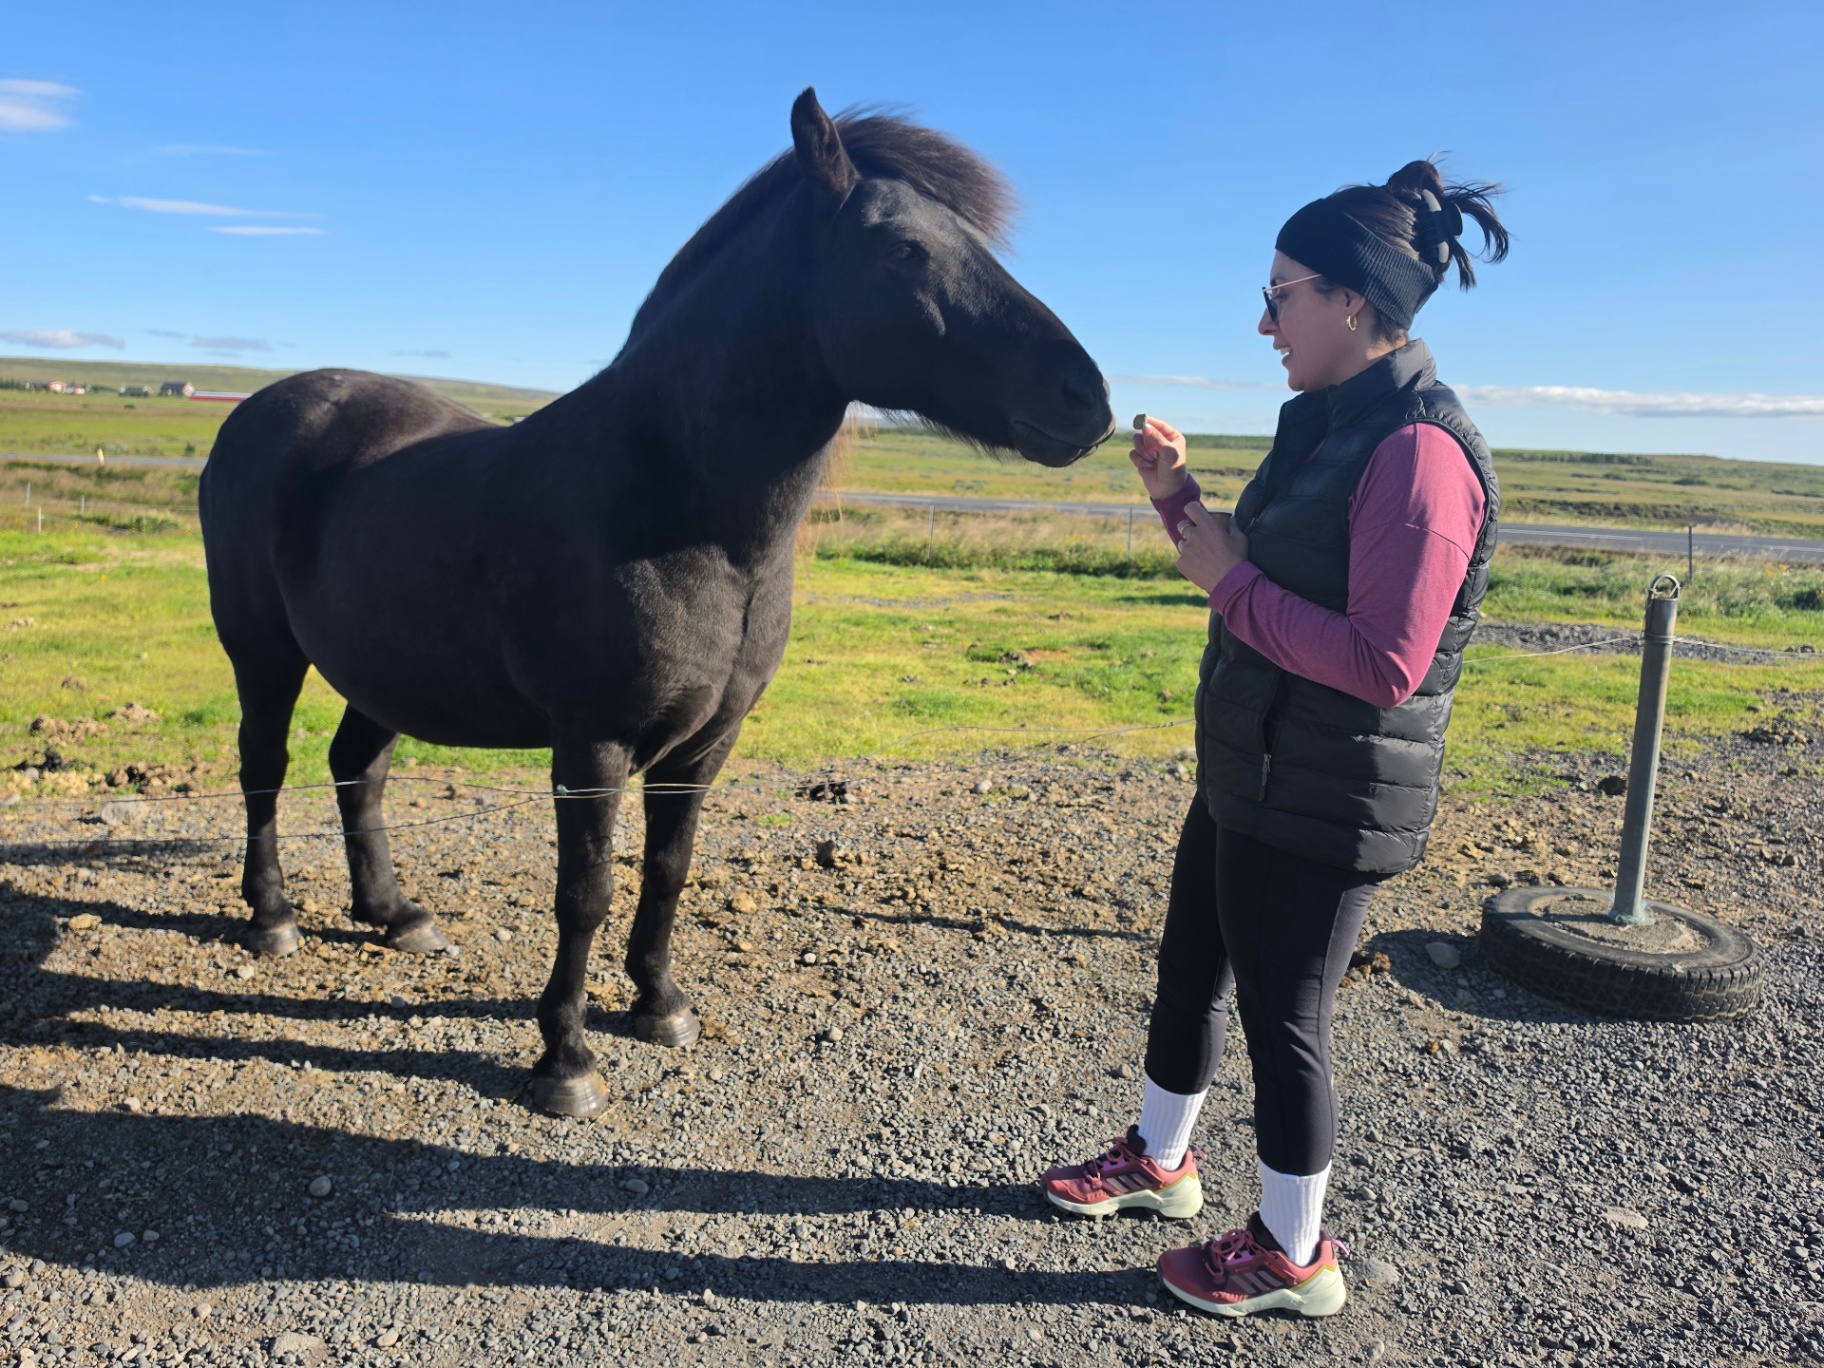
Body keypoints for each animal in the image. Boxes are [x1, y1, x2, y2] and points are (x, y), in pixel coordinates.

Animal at [197, 88, 1114, 1117]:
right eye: (905, 250)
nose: (1088, 399)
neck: (685, 516)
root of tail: (260, 410)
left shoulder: (707, 742)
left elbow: (669, 872)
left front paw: (660, 1004)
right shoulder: (591, 744)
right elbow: (586, 891)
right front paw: (565, 1059)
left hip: (385, 670)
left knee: (358, 769)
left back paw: (396, 916)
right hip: (263, 651)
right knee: (265, 767)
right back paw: (273, 917)